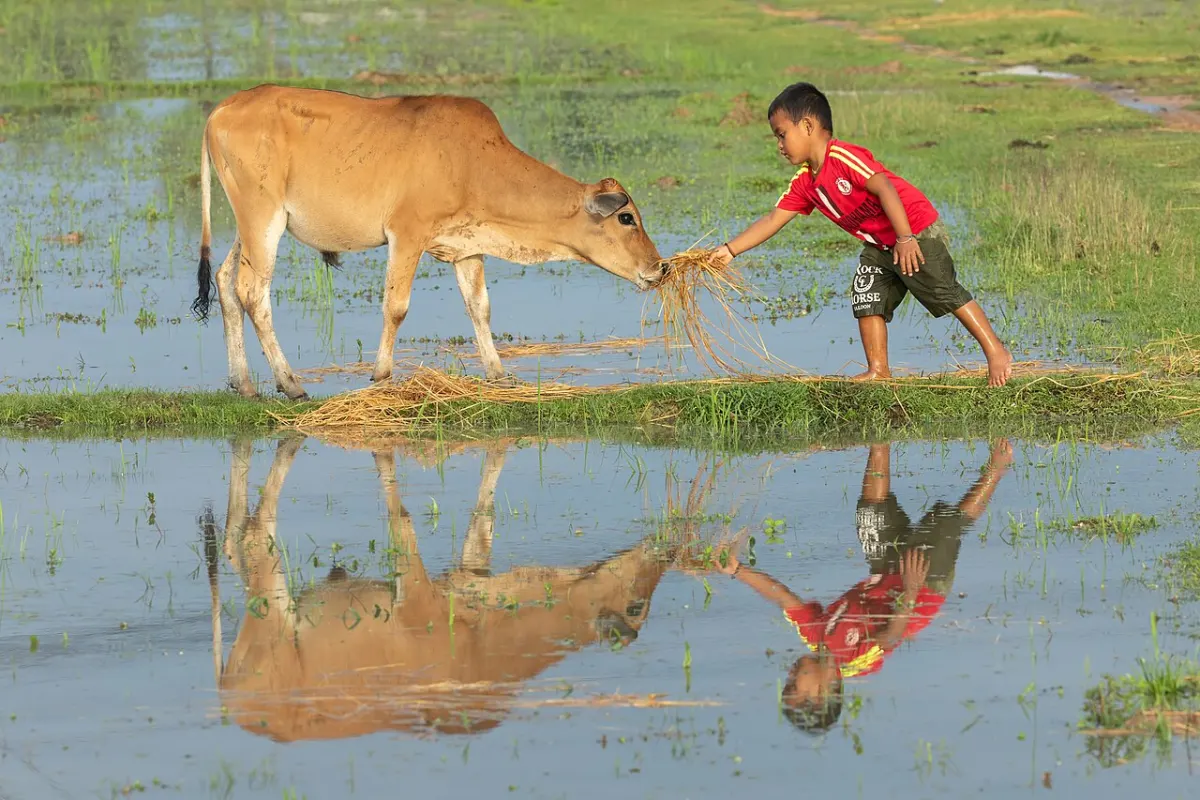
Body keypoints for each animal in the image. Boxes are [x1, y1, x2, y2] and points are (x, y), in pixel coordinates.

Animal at [192, 85, 667, 400]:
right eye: (627, 217)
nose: (660, 267)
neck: (474, 162)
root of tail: (221, 109)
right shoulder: (407, 235)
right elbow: (396, 307)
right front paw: (382, 373)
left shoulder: (468, 248)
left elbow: (480, 308)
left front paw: (497, 372)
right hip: (262, 220)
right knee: (253, 292)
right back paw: (290, 384)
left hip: (250, 227)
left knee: (226, 281)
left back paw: (244, 383)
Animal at [204, 436, 678, 740]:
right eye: (636, 604)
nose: (667, 550)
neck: (481, 642)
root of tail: (230, 695)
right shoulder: (415, 593)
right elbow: (403, 517)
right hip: (272, 603)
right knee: (253, 534)